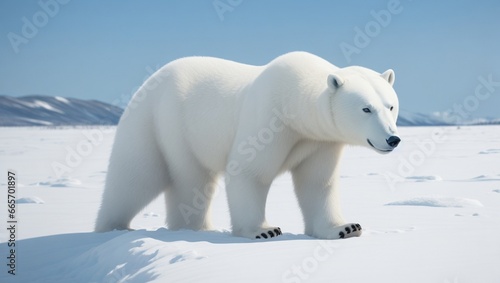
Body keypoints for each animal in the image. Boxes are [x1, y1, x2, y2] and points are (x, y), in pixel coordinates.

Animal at [94, 51, 402, 240]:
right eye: (366, 109)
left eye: (390, 105)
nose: (393, 138)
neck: (294, 102)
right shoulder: (269, 119)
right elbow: (249, 171)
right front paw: (263, 231)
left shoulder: (319, 140)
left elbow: (317, 182)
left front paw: (346, 227)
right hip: (163, 124)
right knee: (142, 177)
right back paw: (113, 226)